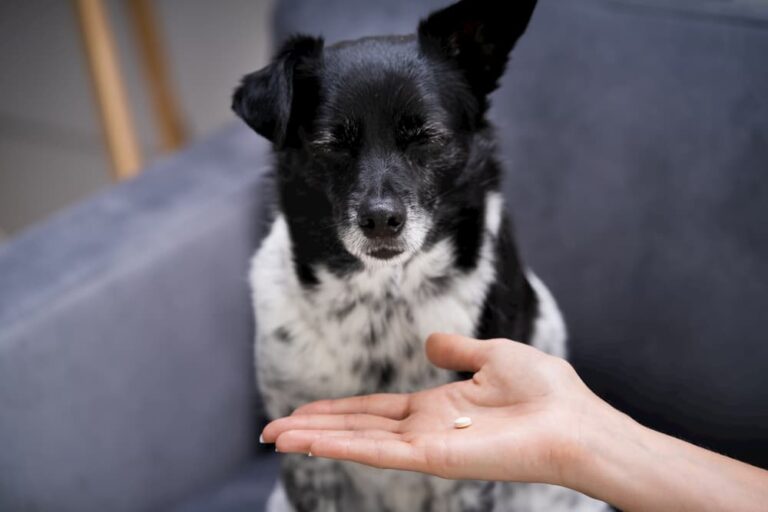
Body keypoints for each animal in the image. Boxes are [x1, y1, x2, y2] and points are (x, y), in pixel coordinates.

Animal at [231, 0, 608, 510]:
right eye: (331, 144)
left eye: (426, 136)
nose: (380, 219)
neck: (381, 298)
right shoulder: (305, 454)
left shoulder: (469, 473)